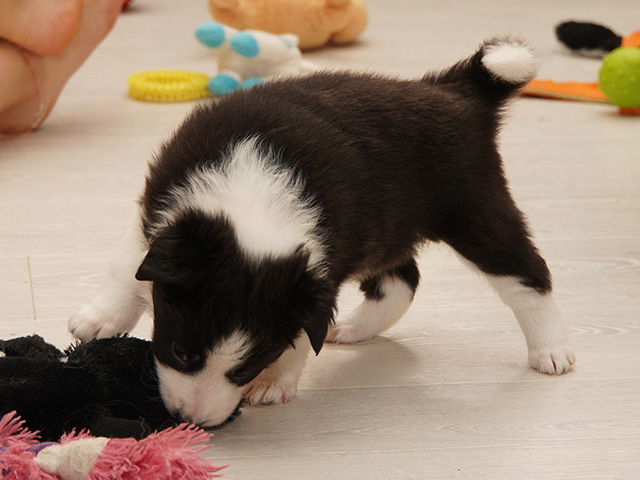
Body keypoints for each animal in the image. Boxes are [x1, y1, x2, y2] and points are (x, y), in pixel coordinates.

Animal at [69, 38, 575, 428]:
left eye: (247, 366)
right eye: (181, 351)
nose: (193, 421)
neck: (253, 195)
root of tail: (455, 91)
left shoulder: (320, 268)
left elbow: (299, 332)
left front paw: (274, 381)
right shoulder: (159, 215)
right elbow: (127, 270)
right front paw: (97, 322)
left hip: (477, 213)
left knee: (529, 274)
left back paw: (552, 351)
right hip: (387, 229)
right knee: (402, 280)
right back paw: (353, 329)